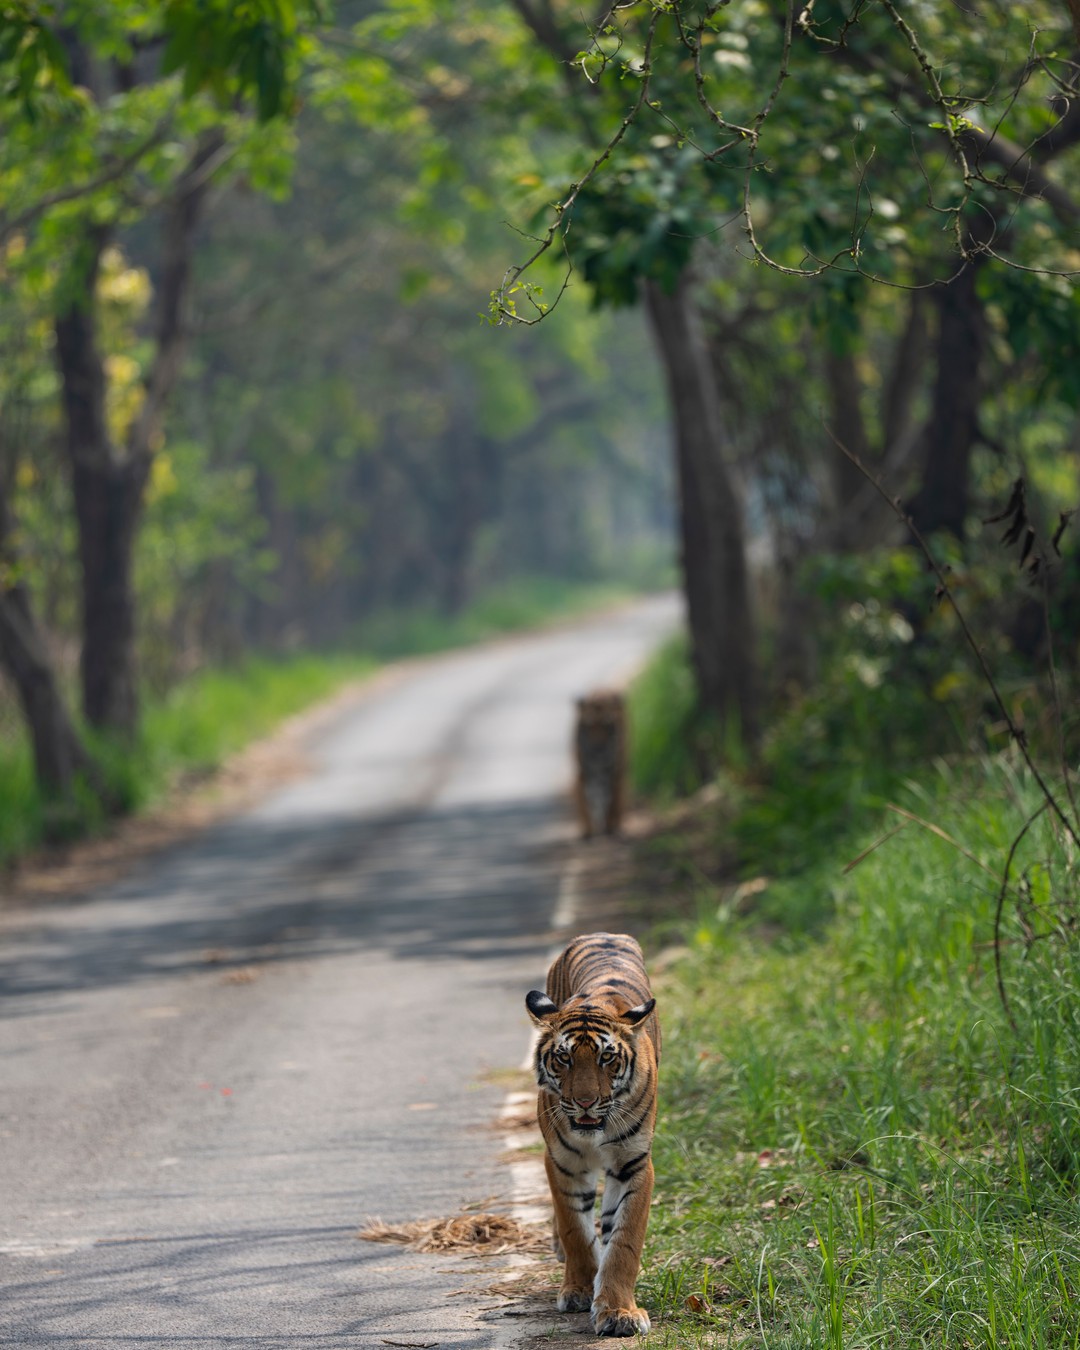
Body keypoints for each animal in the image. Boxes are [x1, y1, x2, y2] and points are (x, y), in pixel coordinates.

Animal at [525, 932, 660, 1338]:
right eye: (564, 1058)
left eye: (607, 1058)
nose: (585, 1102)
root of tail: (604, 934)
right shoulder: (562, 1162)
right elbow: (576, 1231)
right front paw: (580, 1290)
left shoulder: (633, 1163)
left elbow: (624, 1241)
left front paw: (619, 1311)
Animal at [573, 691, 627, 839]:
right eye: (589, 726)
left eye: (606, 725)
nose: (597, 748)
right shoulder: (585, 772)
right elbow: (587, 801)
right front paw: (589, 831)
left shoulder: (613, 772)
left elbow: (612, 801)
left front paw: (609, 827)